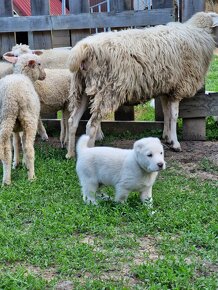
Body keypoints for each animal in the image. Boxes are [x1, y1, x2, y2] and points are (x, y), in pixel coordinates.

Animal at [0, 53, 45, 185]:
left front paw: (16, 163)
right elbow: (22, 142)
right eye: (39, 64)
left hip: (6, 118)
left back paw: (6, 181)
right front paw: (23, 163)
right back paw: (32, 177)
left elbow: (15, 143)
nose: (44, 75)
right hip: (29, 118)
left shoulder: (15, 127)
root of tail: (14, 94)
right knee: (29, 148)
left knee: (6, 152)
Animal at [66, 11, 218, 157]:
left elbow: (167, 114)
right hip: (107, 90)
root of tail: (84, 48)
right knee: (91, 125)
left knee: (72, 122)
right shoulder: (178, 87)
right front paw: (175, 143)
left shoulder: (166, 88)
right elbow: (174, 116)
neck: (198, 33)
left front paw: (167, 137)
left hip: (81, 88)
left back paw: (70, 154)